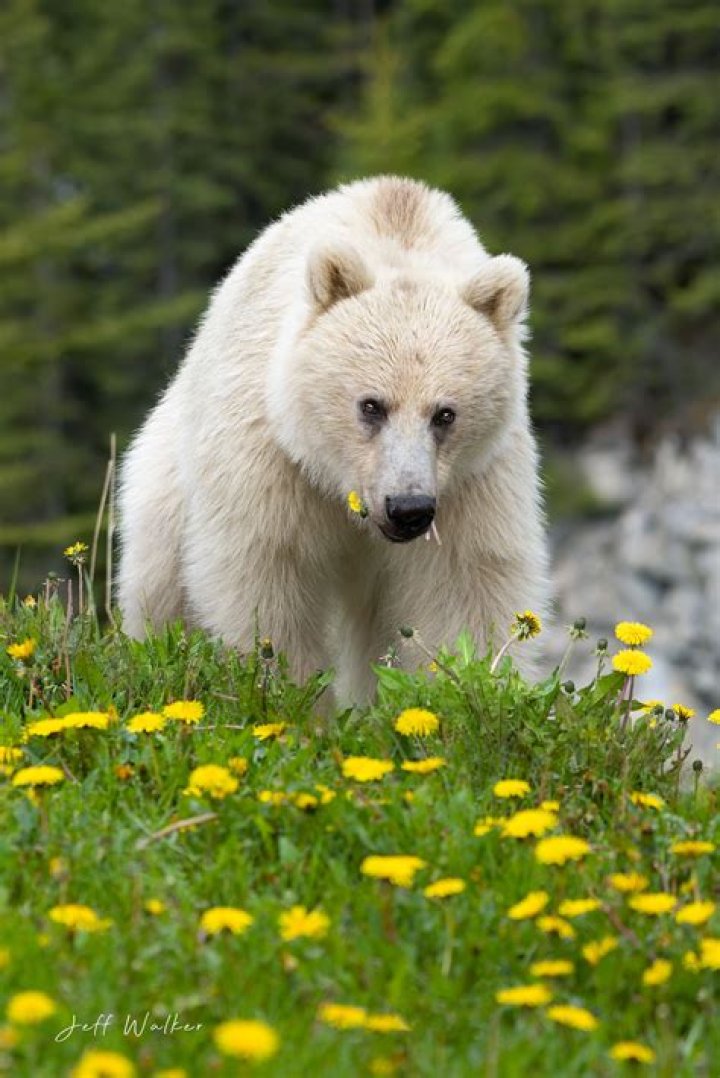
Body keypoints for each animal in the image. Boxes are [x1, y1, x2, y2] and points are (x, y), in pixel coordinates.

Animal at [117, 176, 549, 704]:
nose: (408, 508)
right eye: (371, 405)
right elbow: (265, 584)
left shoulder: (474, 482)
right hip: (169, 473)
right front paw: (290, 697)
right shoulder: (272, 458)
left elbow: (464, 590)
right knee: (160, 585)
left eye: (445, 414)